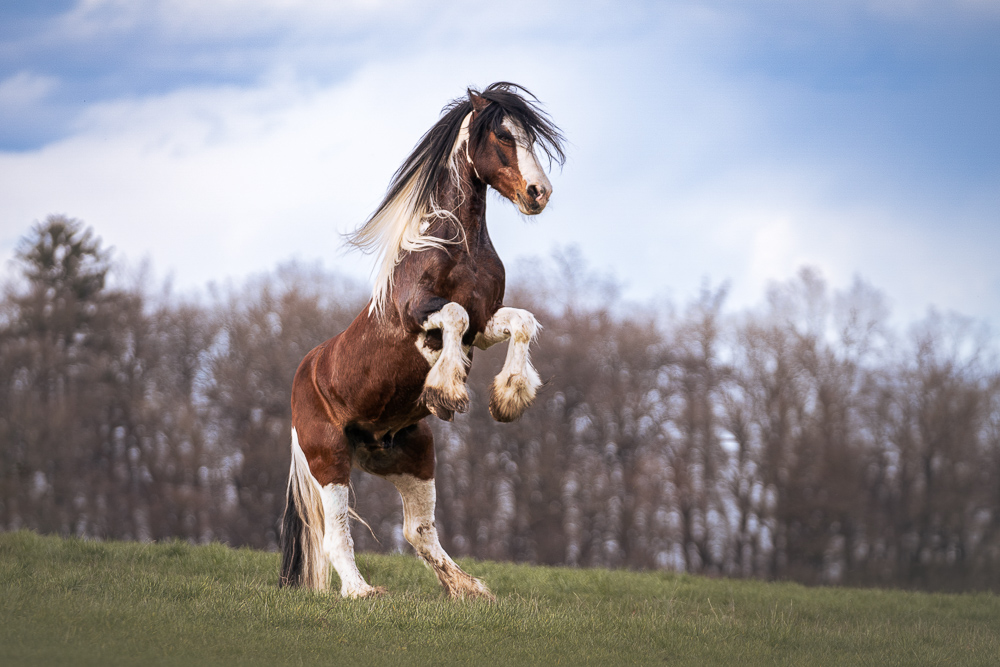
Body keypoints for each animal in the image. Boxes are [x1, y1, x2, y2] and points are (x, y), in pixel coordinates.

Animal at [279, 82, 565, 599]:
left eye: (530, 137)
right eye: (502, 135)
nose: (539, 193)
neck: (459, 248)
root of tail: (302, 377)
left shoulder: (483, 324)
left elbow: (521, 322)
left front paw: (509, 396)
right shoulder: (419, 312)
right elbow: (449, 316)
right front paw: (446, 388)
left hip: (415, 457)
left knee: (418, 530)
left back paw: (470, 589)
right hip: (329, 457)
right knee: (336, 535)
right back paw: (362, 592)